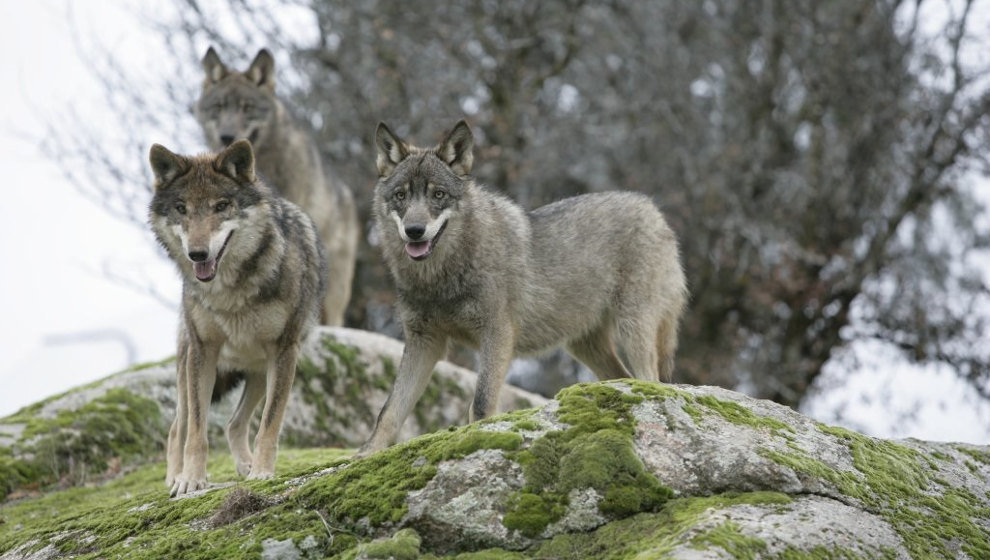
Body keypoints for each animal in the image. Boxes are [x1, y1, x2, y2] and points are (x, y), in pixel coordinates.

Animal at [147, 139, 328, 494]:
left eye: (221, 206)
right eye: (181, 208)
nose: (198, 254)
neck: (229, 292)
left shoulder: (285, 351)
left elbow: (270, 424)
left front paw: (261, 472)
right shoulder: (203, 352)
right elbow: (197, 432)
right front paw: (191, 480)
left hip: (259, 370)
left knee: (233, 423)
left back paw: (246, 466)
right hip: (188, 366)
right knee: (178, 427)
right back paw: (174, 477)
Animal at [358, 119, 688, 456]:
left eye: (438, 194)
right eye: (401, 196)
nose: (414, 231)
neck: (439, 278)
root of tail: (653, 209)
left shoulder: (497, 333)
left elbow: (480, 403)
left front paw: (476, 440)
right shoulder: (424, 341)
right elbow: (389, 411)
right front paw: (366, 454)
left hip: (633, 328)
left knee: (651, 380)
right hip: (585, 345)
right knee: (624, 378)